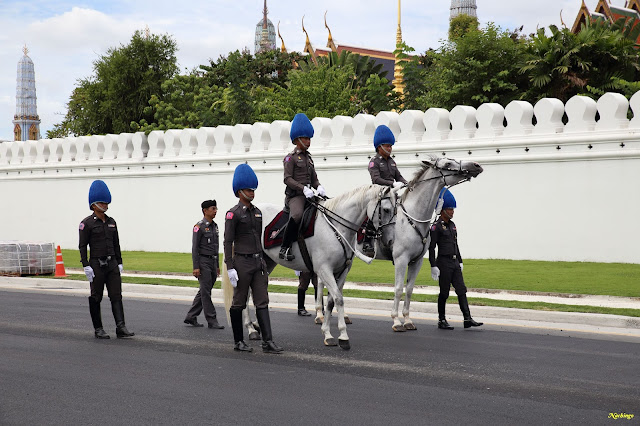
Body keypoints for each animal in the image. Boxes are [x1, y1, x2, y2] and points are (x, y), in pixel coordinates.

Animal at [356, 158, 484, 332]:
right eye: (447, 164)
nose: (476, 165)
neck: (413, 218)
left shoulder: (417, 261)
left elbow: (409, 289)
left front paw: (408, 320)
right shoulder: (401, 260)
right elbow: (398, 289)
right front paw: (396, 321)